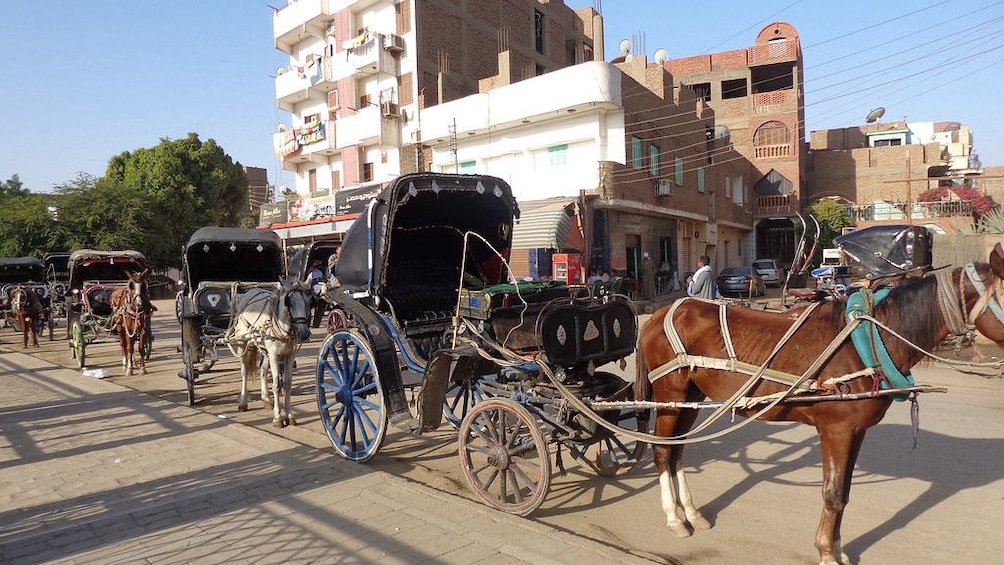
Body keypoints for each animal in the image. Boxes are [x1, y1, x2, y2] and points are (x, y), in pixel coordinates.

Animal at [229, 278, 311, 429]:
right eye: (289, 302)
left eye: (309, 301)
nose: (303, 333)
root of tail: (247, 293)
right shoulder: (274, 354)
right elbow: (276, 384)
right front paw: (278, 418)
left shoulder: (290, 354)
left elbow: (287, 384)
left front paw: (289, 415)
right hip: (242, 343)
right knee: (244, 371)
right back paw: (243, 402)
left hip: (264, 348)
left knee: (262, 370)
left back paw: (266, 399)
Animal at [638, 243, 1003, 565]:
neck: (867, 340)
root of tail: (658, 315)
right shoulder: (836, 430)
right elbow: (833, 493)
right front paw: (827, 552)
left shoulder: (855, 431)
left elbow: (845, 492)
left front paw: (838, 549)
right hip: (671, 394)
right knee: (662, 451)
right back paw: (674, 517)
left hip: (691, 396)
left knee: (678, 450)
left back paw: (691, 512)